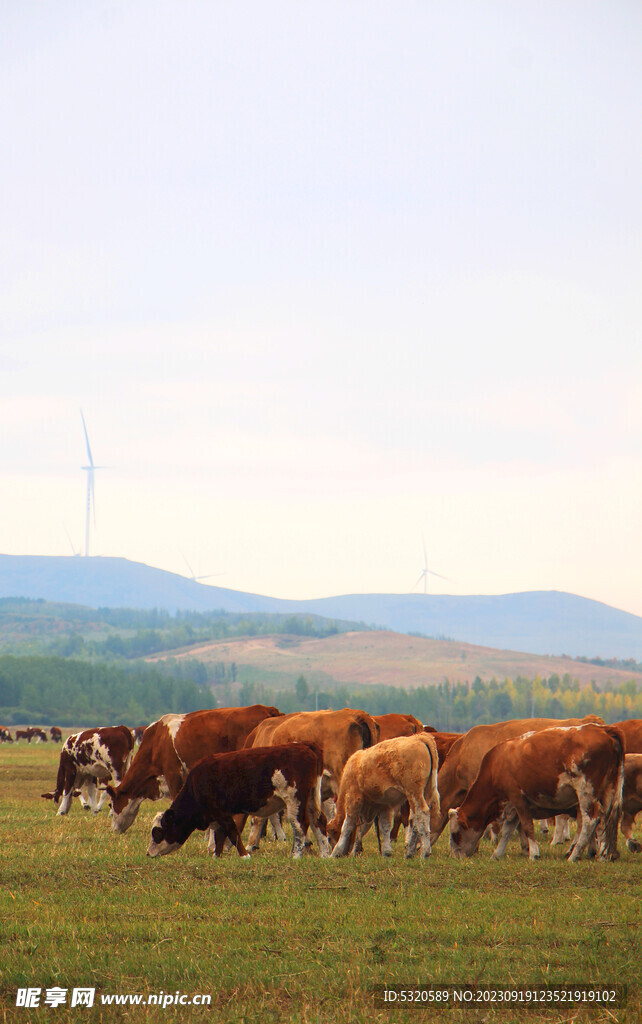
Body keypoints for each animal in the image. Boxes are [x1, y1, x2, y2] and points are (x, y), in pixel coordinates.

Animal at [147, 741, 331, 860]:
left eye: (157, 832)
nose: (148, 853)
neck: (196, 785)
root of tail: (304, 746)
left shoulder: (222, 812)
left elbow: (232, 832)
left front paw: (244, 855)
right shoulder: (217, 815)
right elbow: (220, 835)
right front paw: (216, 856)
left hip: (295, 800)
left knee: (300, 825)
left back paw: (296, 855)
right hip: (311, 799)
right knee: (318, 821)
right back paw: (325, 854)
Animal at [450, 720, 626, 864]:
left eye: (455, 834)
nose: (455, 857)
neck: (497, 764)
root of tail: (604, 729)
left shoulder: (517, 797)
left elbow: (527, 826)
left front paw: (533, 854)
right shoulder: (512, 804)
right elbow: (507, 830)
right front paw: (497, 854)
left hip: (586, 791)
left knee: (590, 820)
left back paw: (574, 855)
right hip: (607, 790)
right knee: (605, 818)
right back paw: (603, 855)